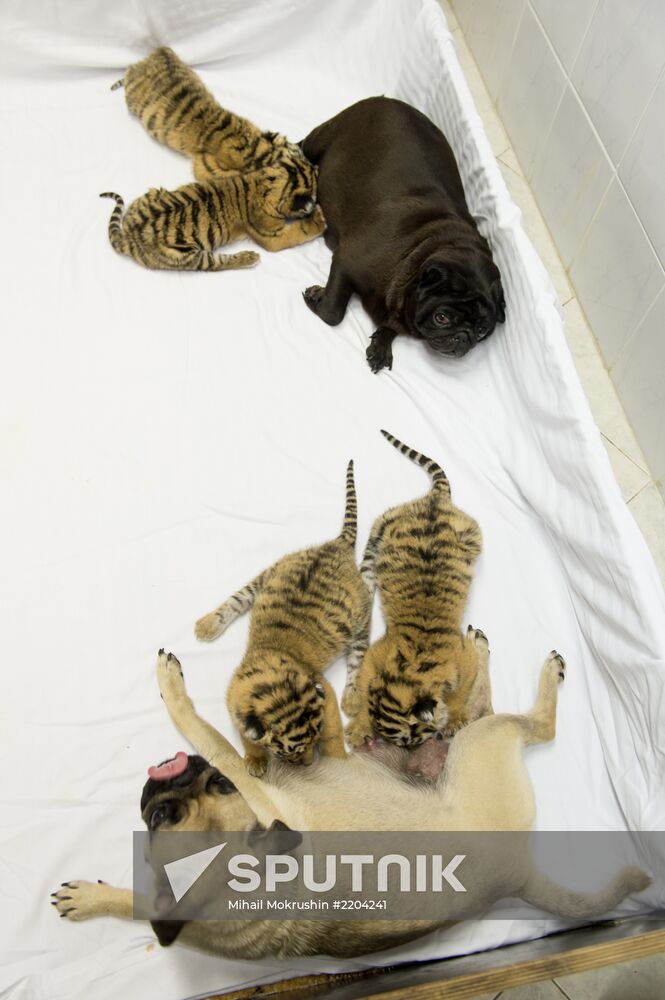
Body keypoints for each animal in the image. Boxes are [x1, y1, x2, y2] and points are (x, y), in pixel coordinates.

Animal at [53, 644, 648, 956]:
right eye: (161, 815)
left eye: (219, 788)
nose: (180, 774)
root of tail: (519, 877)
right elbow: (135, 901)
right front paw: (97, 898)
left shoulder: (244, 775)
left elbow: (204, 731)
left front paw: (174, 693)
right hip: (477, 746)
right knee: (500, 718)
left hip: (476, 747)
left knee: (529, 724)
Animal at [300, 97, 504, 374]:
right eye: (441, 318)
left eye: (482, 331)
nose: (463, 337)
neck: (415, 249)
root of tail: (387, 99)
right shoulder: (346, 261)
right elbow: (333, 314)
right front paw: (318, 298)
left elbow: (390, 326)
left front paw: (382, 345)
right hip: (322, 137)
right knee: (301, 147)